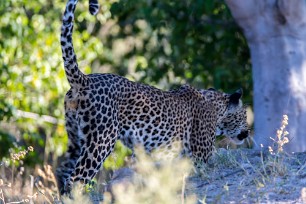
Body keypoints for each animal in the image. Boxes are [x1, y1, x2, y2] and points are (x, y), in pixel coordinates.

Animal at [56, 0, 250, 194]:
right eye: (244, 116)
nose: (248, 132)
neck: (215, 106)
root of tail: (85, 79)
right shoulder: (201, 155)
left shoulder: (152, 154)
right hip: (101, 141)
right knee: (76, 179)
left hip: (75, 139)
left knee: (62, 172)